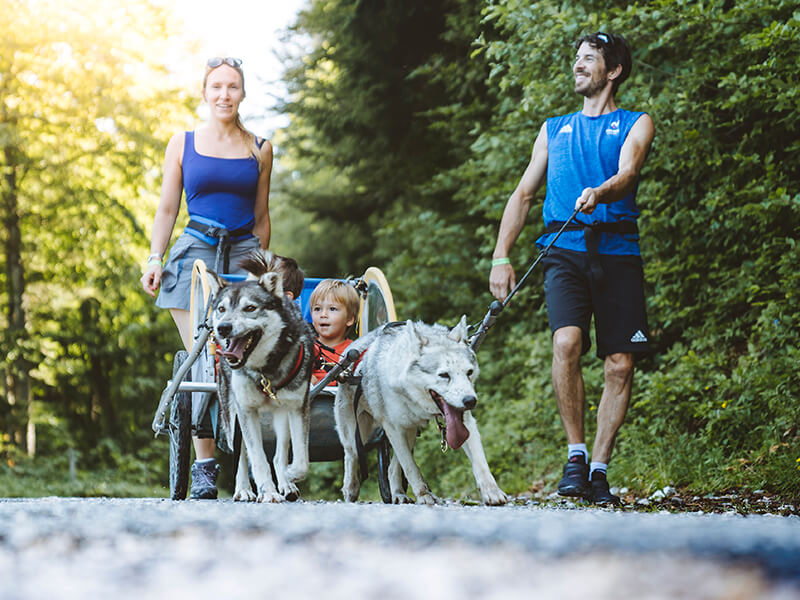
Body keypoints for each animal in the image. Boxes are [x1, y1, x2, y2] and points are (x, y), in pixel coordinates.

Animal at [208, 251, 314, 504]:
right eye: (221, 309)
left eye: (250, 308)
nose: (224, 327)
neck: (266, 370)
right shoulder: (246, 410)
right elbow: (256, 458)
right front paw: (267, 491)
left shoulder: (298, 406)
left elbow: (300, 460)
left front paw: (289, 476)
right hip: (232, 415)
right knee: (241, 456)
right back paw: (244, 489)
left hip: (281, 415)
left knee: (280, 453)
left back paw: (285, 483)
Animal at [334, 316, 510, 504]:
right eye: (444, 375)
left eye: (469, 372)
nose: (470, 401)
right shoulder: (393, 428)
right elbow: (411, 467)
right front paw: (424, 495)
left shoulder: (466, 422)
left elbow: (480, 462)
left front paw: (492, 492)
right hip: (357, 436)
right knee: (351, 455)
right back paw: (351, 490)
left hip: (410, 432)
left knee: (392, 468)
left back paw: (399, 495)